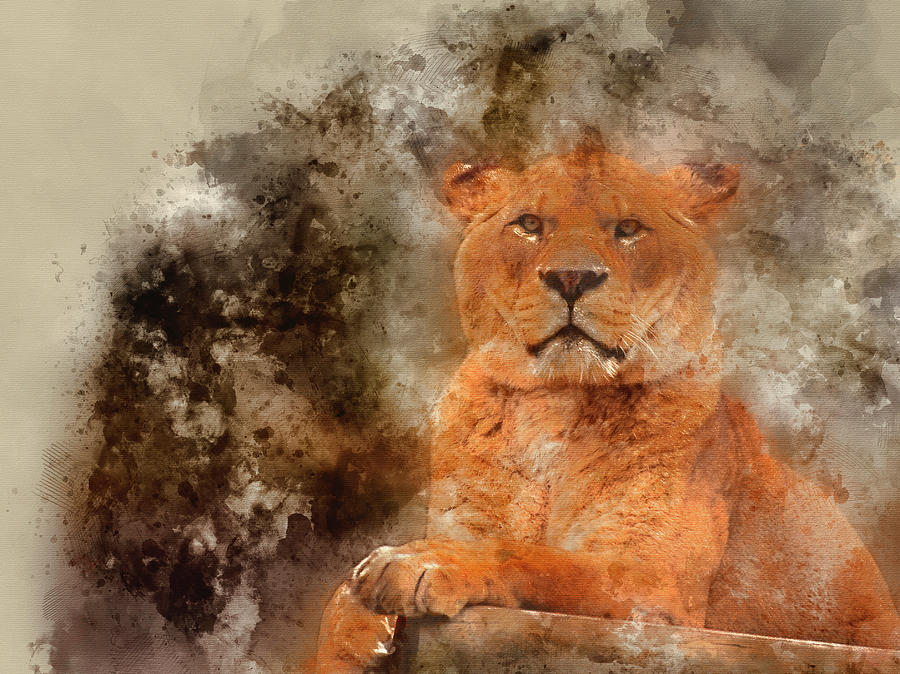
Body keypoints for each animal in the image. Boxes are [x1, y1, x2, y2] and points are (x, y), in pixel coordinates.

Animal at [310, 140, 900, 672]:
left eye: (628, 228)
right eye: (529, 224)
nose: (573, 277)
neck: (556, 401)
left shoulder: (656, 584)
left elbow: (538, 559)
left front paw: (422, 561)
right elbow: (340, 597)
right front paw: (357, 628)